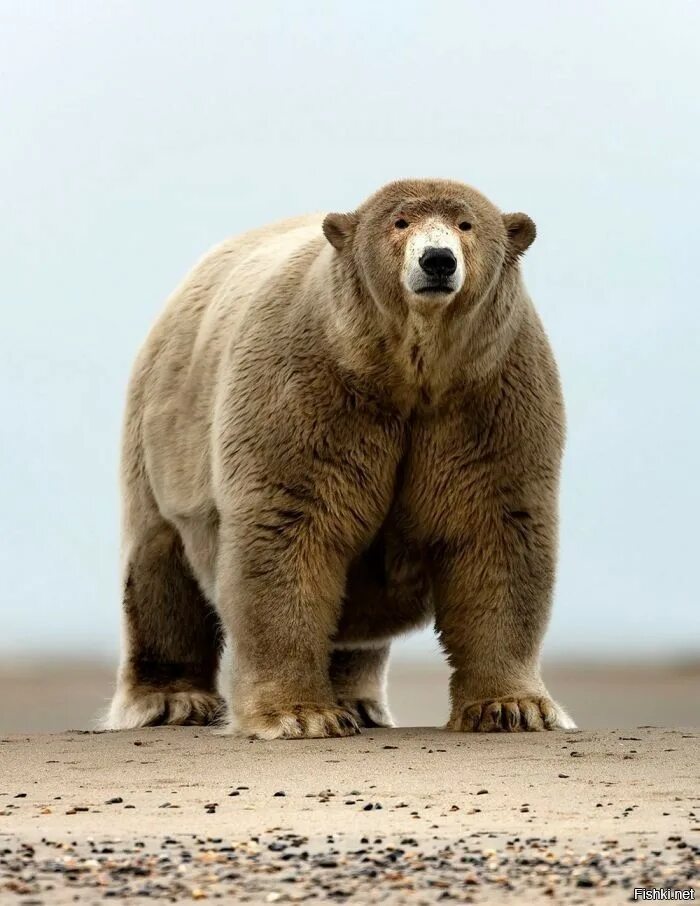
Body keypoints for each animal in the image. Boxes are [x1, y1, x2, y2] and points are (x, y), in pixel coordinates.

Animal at [104, 177, 576, 736]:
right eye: (399, 222)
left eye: (466, 224)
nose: (438, 260)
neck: (408, 373)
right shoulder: (309, 387)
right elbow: (291, 527)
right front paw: (299, 715)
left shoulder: (488, 395)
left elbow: (496, 531)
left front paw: (514, 707)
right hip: (162, 434)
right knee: (159, 566)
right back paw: (172, 701)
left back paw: (359, 701)